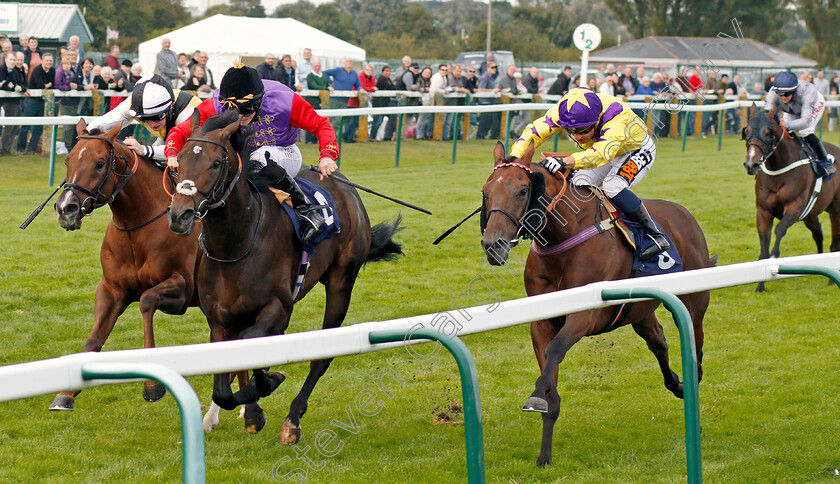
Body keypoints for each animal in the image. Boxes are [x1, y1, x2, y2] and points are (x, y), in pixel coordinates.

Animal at [168, 110, 404, 442]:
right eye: (179, 161)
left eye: (215, 163)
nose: (180, 215)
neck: (236, 245)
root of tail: (344, 185)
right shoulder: (219, 319)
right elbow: (224, 386)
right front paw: (251, 409)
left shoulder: (278, 308)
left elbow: (254, 346)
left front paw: (268, 383)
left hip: (341, 282)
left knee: (322, 356)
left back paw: (293, 419)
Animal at [482, 142, 712, 466]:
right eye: (486, 191)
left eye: (522, 190)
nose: (494, 245)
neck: (563, 237)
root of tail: (684, 214)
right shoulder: (541, 320)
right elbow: (549, 375)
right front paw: (544, 453)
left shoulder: (585, 315)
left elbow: (556, 349)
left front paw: (536, 397)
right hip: (640, 312)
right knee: (659, 343)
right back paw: (677, 385)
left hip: (695, 303)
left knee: (697, 349)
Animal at [740, 105, 840, 292]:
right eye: (747, 131)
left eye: (767, 133)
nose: (751, 164)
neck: (778, 168)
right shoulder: (763, 211)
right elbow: (764, 244)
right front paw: (760, 285)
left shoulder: (795, 207)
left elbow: (779, 229)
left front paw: (774, 261)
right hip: (810, 215)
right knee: (818, 233)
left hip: (835, 210)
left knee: (835, 239)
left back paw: (831, 279)